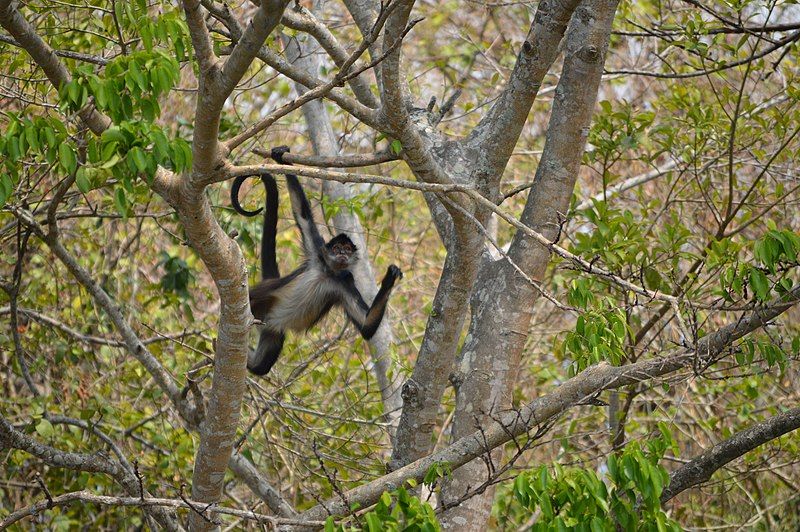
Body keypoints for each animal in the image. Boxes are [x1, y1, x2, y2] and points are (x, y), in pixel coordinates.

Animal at [233, 148, 406, 376]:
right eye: (337, 249)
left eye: (347, 250)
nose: (343, 254)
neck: (328, 272)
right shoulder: (318, 253)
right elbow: (303, 214)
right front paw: (281, 157)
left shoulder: (345, 281)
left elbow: (367, 326)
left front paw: (390, 278)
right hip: (261, 297)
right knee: (254, 298)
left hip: (272, 329)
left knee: (261, 365)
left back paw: (248, 360)